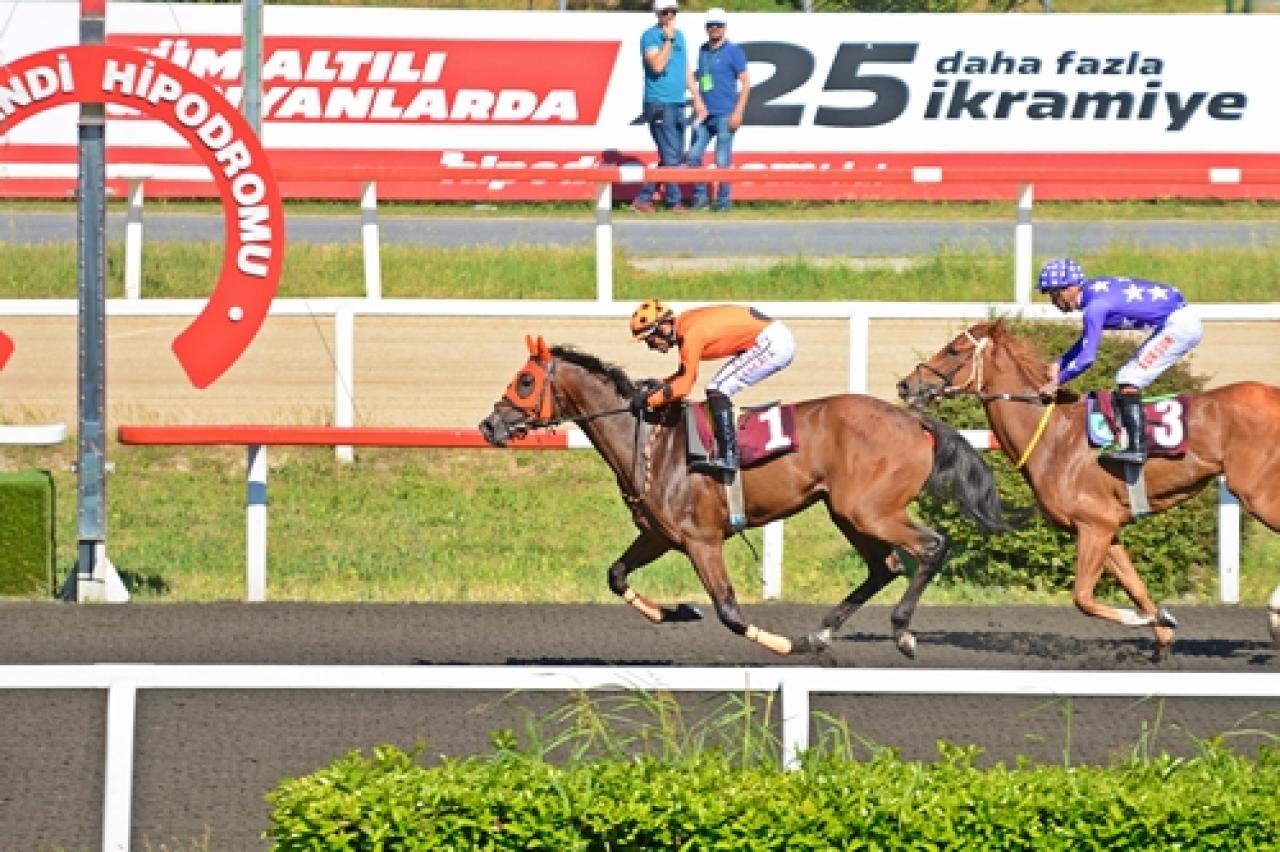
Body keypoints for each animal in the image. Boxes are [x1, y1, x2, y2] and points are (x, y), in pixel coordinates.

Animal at [478, 332, 1018, 654]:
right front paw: (677, 610)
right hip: (847, 512)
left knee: (931, 547)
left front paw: (777, 644)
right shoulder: (658, 536)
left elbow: (730, 612)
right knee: (883, 566)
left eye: (524, 381)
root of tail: (916, 421)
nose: (489, 425)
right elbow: (616, 576)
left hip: (869, 510)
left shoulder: (701, 540)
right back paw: (820, 632)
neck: (651, 441)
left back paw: (901, 631)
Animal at [896, 318, 1280, 654]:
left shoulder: (1094, 525)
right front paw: (1162, 627)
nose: (905, 385)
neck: (1052, 436)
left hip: (1258, 493)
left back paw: (1274, 615)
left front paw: (1143, 620)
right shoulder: (1107, 528)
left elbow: (1082, 598)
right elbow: (1135, 585)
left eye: (953, 349)